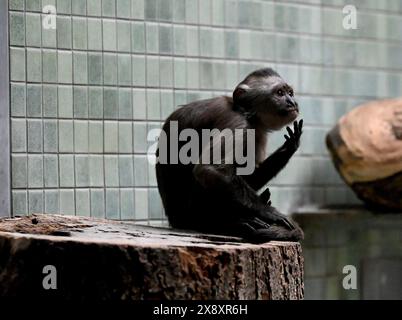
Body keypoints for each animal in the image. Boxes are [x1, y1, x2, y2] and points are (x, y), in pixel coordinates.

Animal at [155, 68, 304, 242]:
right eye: (280, 93)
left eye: (290, 93)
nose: (292, 102)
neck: (246, 113)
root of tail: (174, 219)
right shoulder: (237, 122)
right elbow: (209, 168)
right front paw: (268, 211)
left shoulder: (257, 131)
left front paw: (288, 148)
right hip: (191, 213)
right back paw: (231, 222)